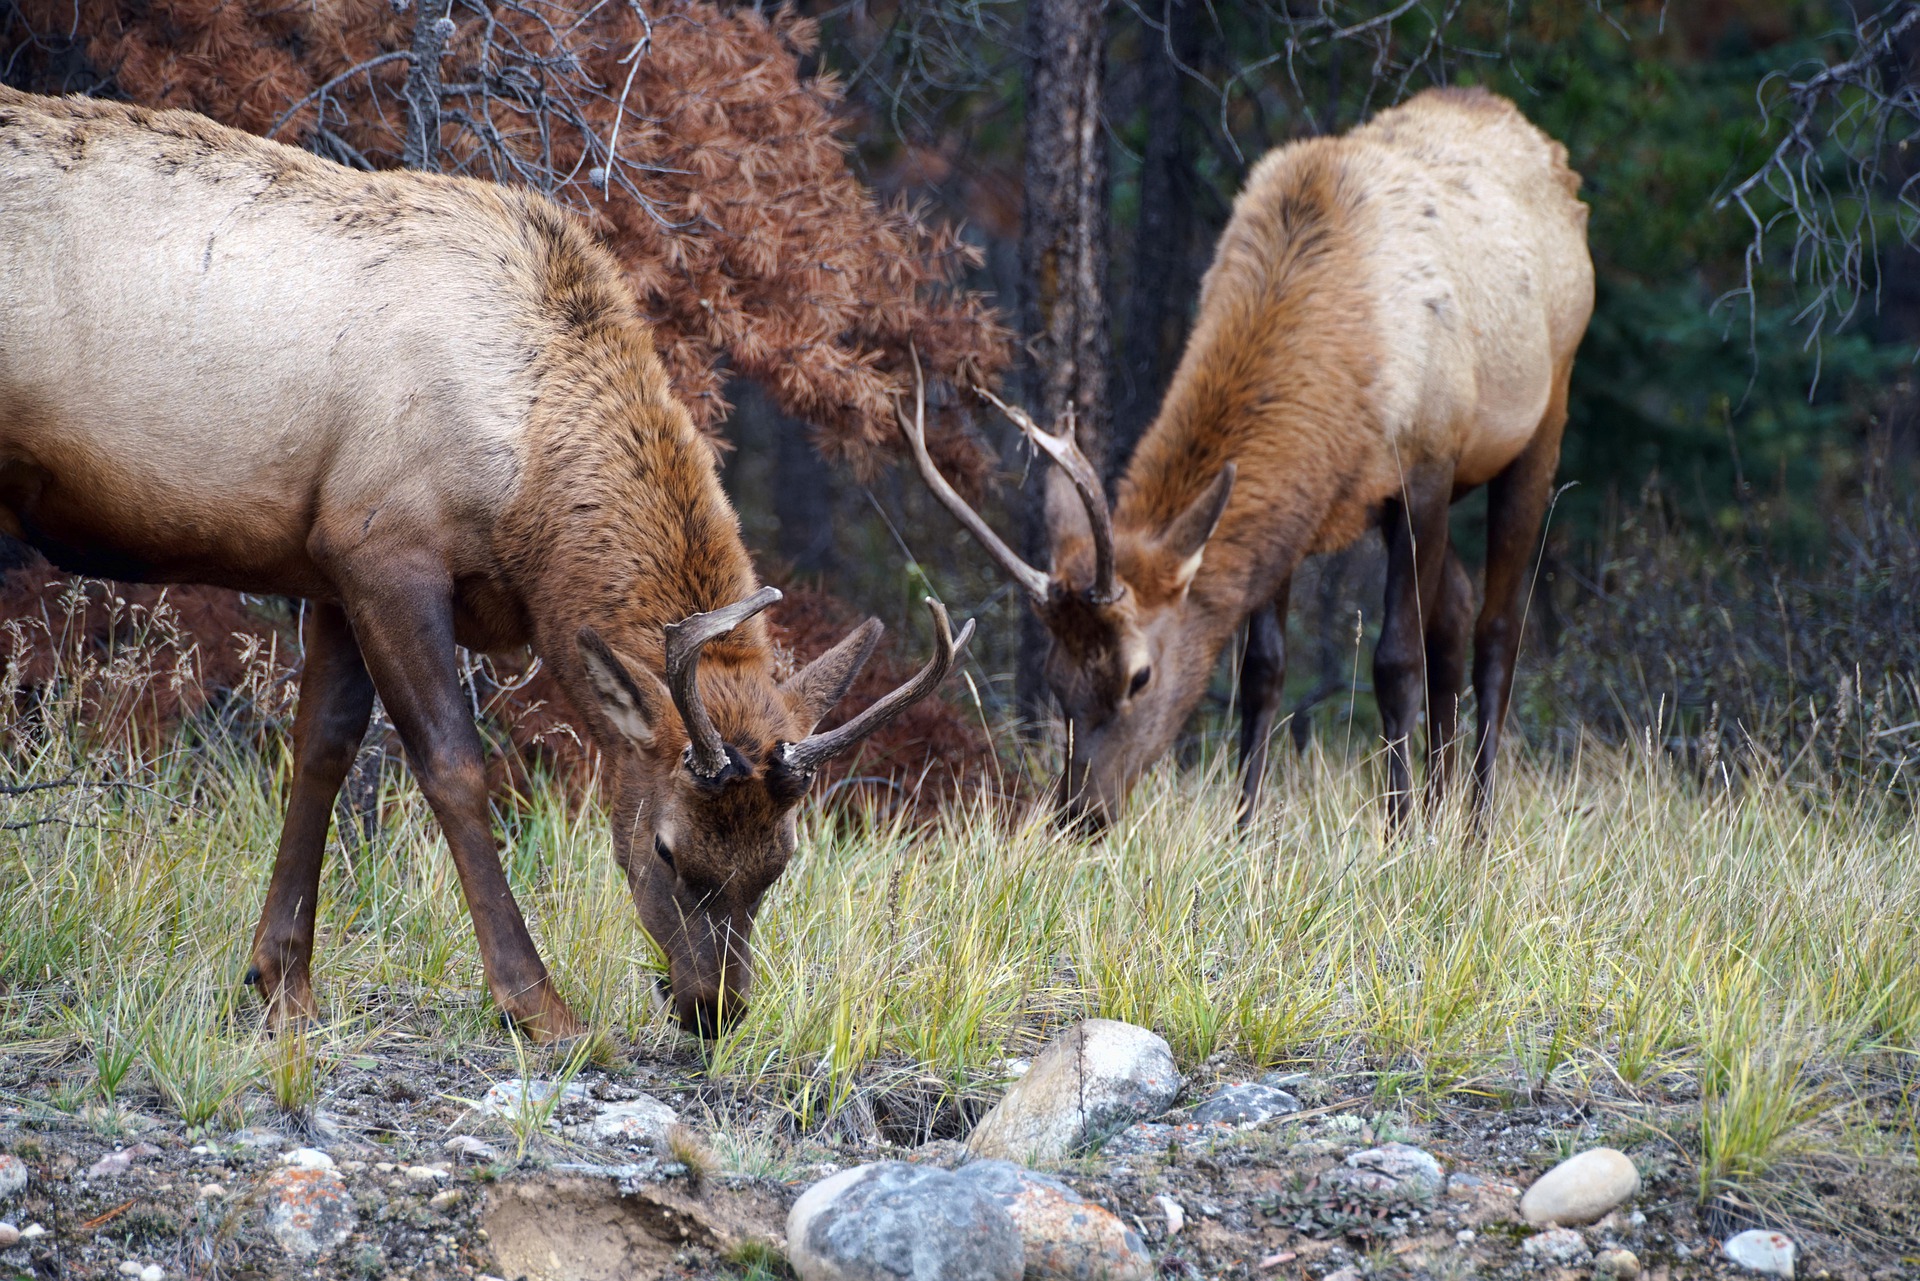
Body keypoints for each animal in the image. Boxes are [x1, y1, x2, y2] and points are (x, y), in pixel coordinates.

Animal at [0, 82, 975, 1044]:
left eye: (778, 861)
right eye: (668, 847)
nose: (715, 1007)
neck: (525, 490)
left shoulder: (334, 561)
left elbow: (322, 749)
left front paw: (282, 985)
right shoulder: (384, 547)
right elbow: (455, 768)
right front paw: (540, 1006)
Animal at [906, 87, 1597, 833]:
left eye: (1139, 675)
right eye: (1058, 676)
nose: (1079, 811)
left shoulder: (1427, 464)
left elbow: (1393, 661)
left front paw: (1398, 831)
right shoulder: (1301, 506)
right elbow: (1262, 669)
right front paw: (1245, 828)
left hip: (1542, 416)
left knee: (1498, 630)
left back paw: (1472, 828)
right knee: (1457, 612)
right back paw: (1443, 809)